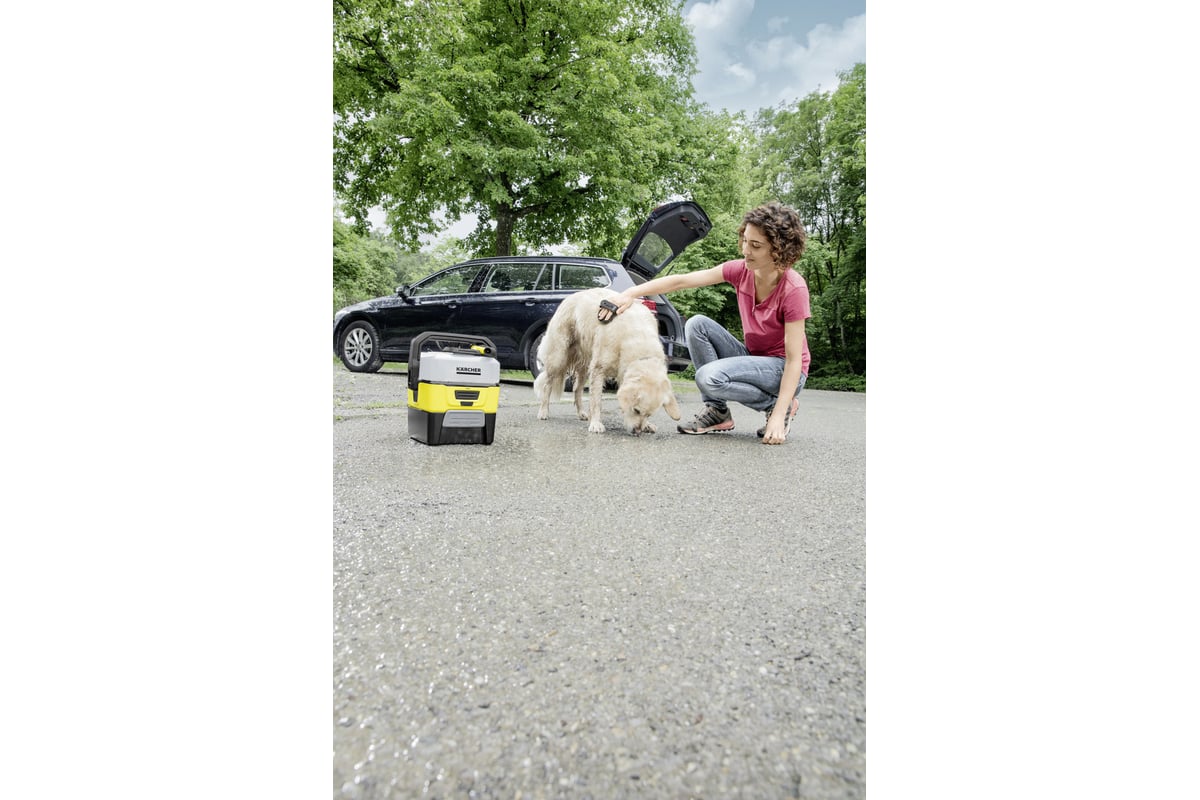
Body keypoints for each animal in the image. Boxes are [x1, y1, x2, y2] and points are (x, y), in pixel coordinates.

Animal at [533, 287, 681, 434]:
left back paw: (581, 413)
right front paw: (595, 424)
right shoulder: (598, 369)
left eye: (649, 414)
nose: (637, 432)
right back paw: (543, 411)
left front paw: (647, 425)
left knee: (577, 390)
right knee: (547, 385)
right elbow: (596, 402)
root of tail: (573, 294)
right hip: (558, 357)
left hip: (585, 368)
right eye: (636, 410)